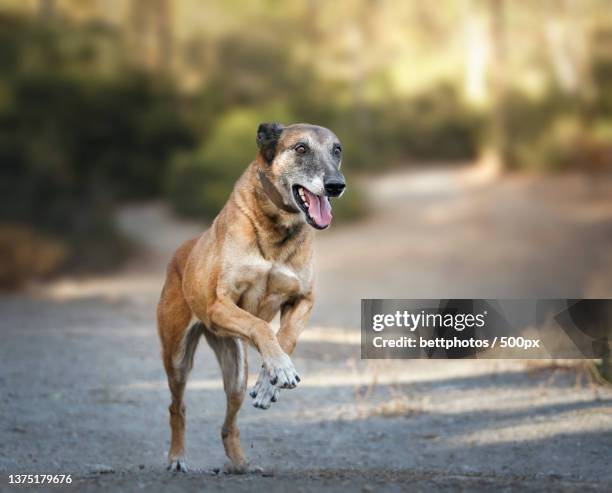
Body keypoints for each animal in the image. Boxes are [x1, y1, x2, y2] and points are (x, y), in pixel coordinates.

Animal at [157, 121, 344, 470]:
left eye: (336, 150)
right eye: (300, 148)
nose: (336, 185)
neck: (277, 228)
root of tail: (181, 251)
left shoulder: (303, 300)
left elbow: (285, 338)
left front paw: (271, 381)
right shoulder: (220, 305)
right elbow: (259, 326)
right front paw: (280, 368)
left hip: (235, 374)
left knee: (228, 423)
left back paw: (240, 463)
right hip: (177, 358)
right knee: (177, 406)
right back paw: (177, 457)